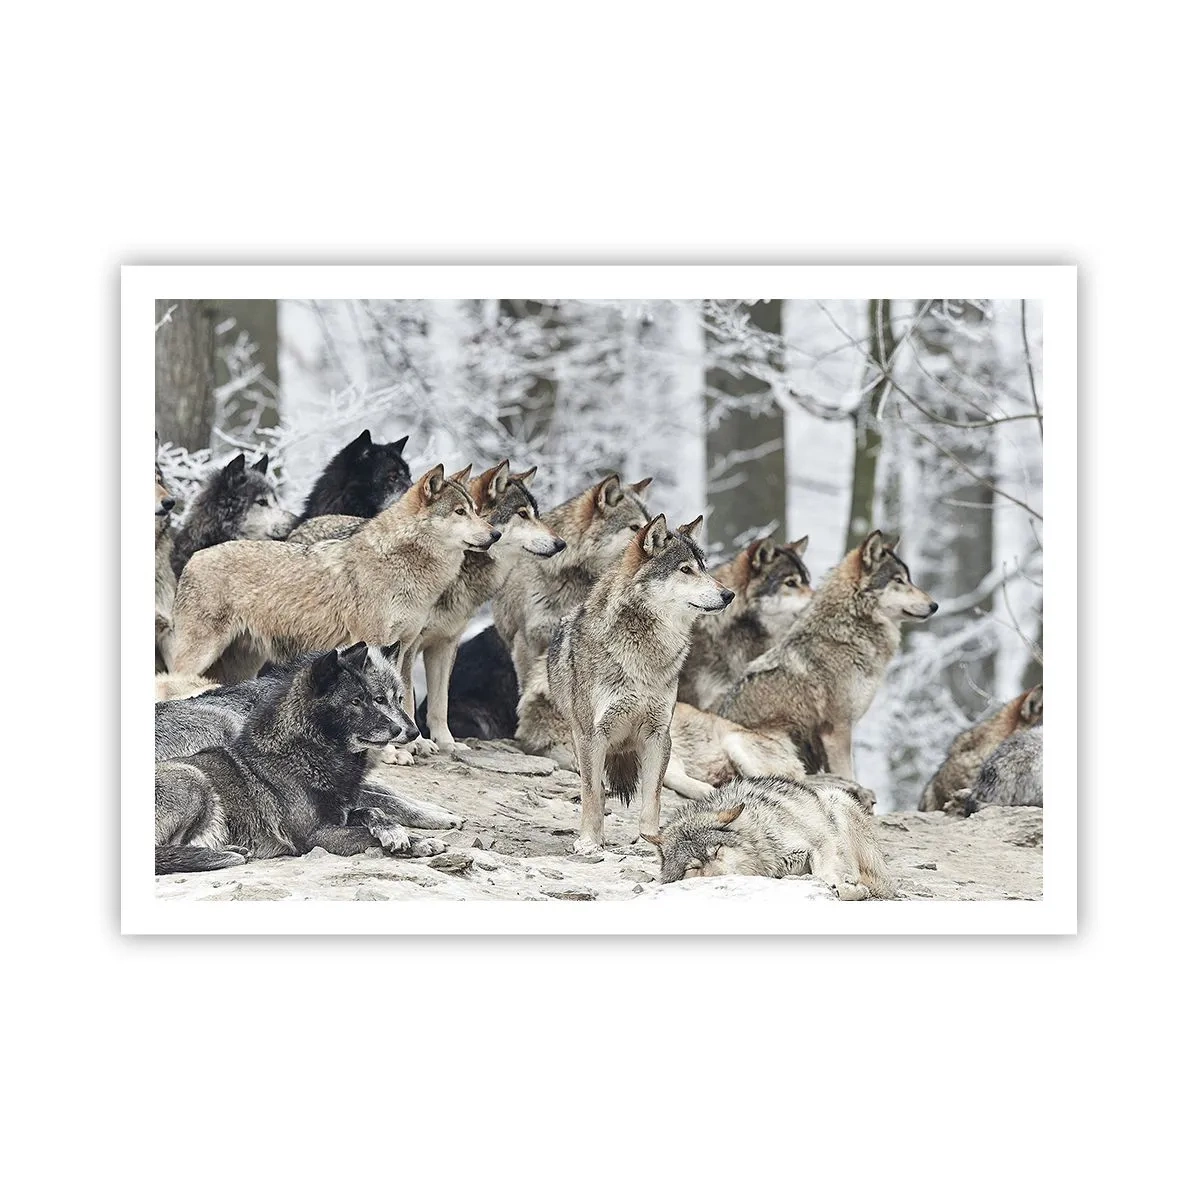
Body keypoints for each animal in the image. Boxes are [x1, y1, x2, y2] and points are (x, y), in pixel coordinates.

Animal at [155, 644, 455, 875]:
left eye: (398, 699)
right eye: (365, 700)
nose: (411, 732)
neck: (308, 755)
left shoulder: (344, 808)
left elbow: (376, 807)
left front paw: (416, 823)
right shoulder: (317, 835)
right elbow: (376, 816)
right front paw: (422, 833)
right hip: (193, 775)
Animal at [170, 465, 499, 696]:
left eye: (475, 511)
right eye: (459, 512)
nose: (495, 534)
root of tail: (193, 558)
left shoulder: (404, 647)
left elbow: (400, 693)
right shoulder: (374, 642)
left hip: (242, 663)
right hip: (201, 656)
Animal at [546, 514, 734, 853]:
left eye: (704, 568)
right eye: (685, 570)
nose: (729, 595)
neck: (644, 654)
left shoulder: (659, 735)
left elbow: (653, 798)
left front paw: (648, 841)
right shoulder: (591, 736)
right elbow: (592, 794)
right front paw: (589, 842)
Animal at [644, 775, 896, 900]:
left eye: (717, 851)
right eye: (692, 868)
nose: (720, 878)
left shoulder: (821, 842)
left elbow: (827, 874)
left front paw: (847, 889)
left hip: (834, 797)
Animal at [720, 531, 937, 779]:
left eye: (909, 579)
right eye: (899, 580)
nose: (934, 605)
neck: (849, 632)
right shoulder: (837, 732)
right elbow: (849, 776)